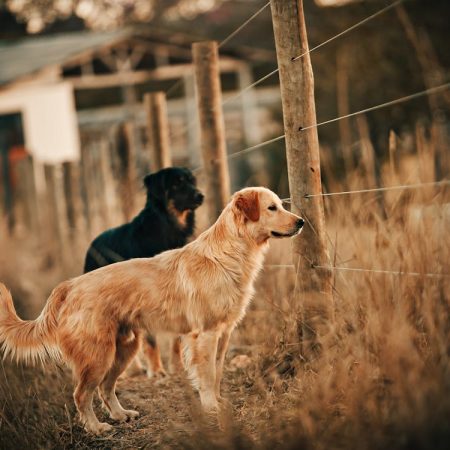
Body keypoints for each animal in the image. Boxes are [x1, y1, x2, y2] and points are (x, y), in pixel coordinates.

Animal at [82, 165, 204, 376]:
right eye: (177, 183)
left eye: (192, 181)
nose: (201, 195)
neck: (167, 228)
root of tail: (92, 244)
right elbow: (151, 340)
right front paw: (156, 370)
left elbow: (176, 339)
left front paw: (177, 367)